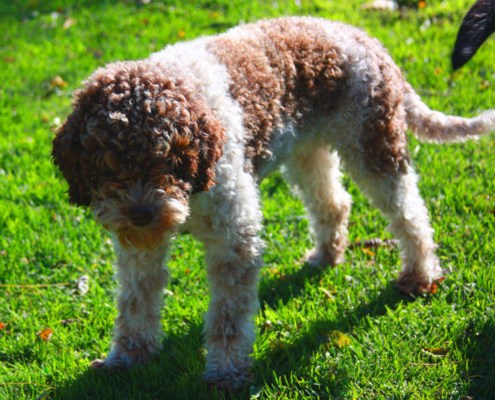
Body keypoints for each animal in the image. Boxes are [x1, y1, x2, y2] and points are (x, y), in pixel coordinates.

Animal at [51, 17, 495, 390]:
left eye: (171, 159)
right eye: (106, 165)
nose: (142, 214)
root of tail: (363, 36)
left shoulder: (235, 236)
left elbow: (229, 316)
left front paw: (225, 373)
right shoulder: (140, 246)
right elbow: (135, 300)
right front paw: (127, 358)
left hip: (374, 146)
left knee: (410, 213)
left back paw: (420, 275)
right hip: (308, 151)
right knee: (334, 203)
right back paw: (326, 256)